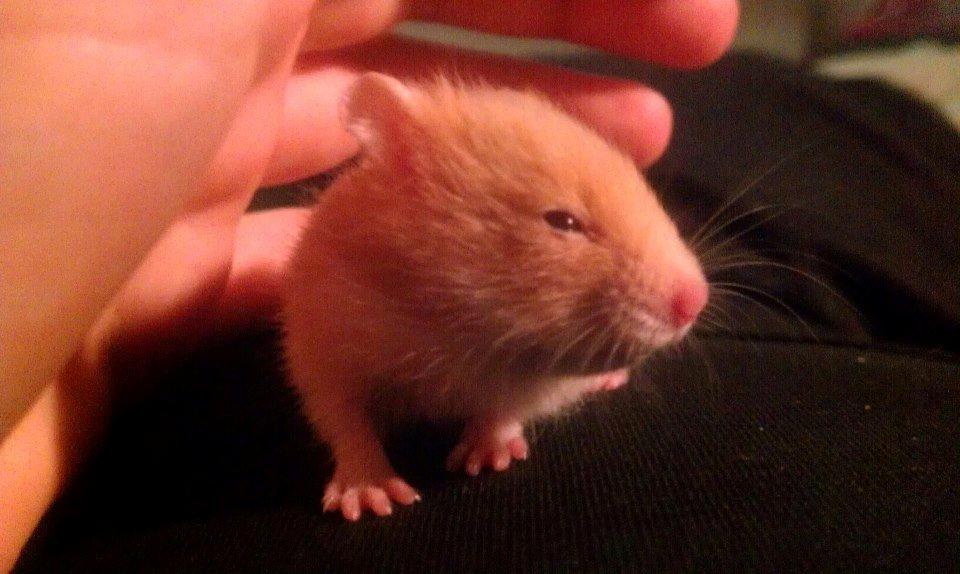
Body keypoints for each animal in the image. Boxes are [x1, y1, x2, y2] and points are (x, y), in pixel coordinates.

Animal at [282, 73, 708, 521]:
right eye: (562, 221)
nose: (696, 302)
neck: (453, 327)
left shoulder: (532, 386)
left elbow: (504, 410)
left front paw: (482, 461)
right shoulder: (322, 352)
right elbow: (347, 423)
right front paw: (371, 499)